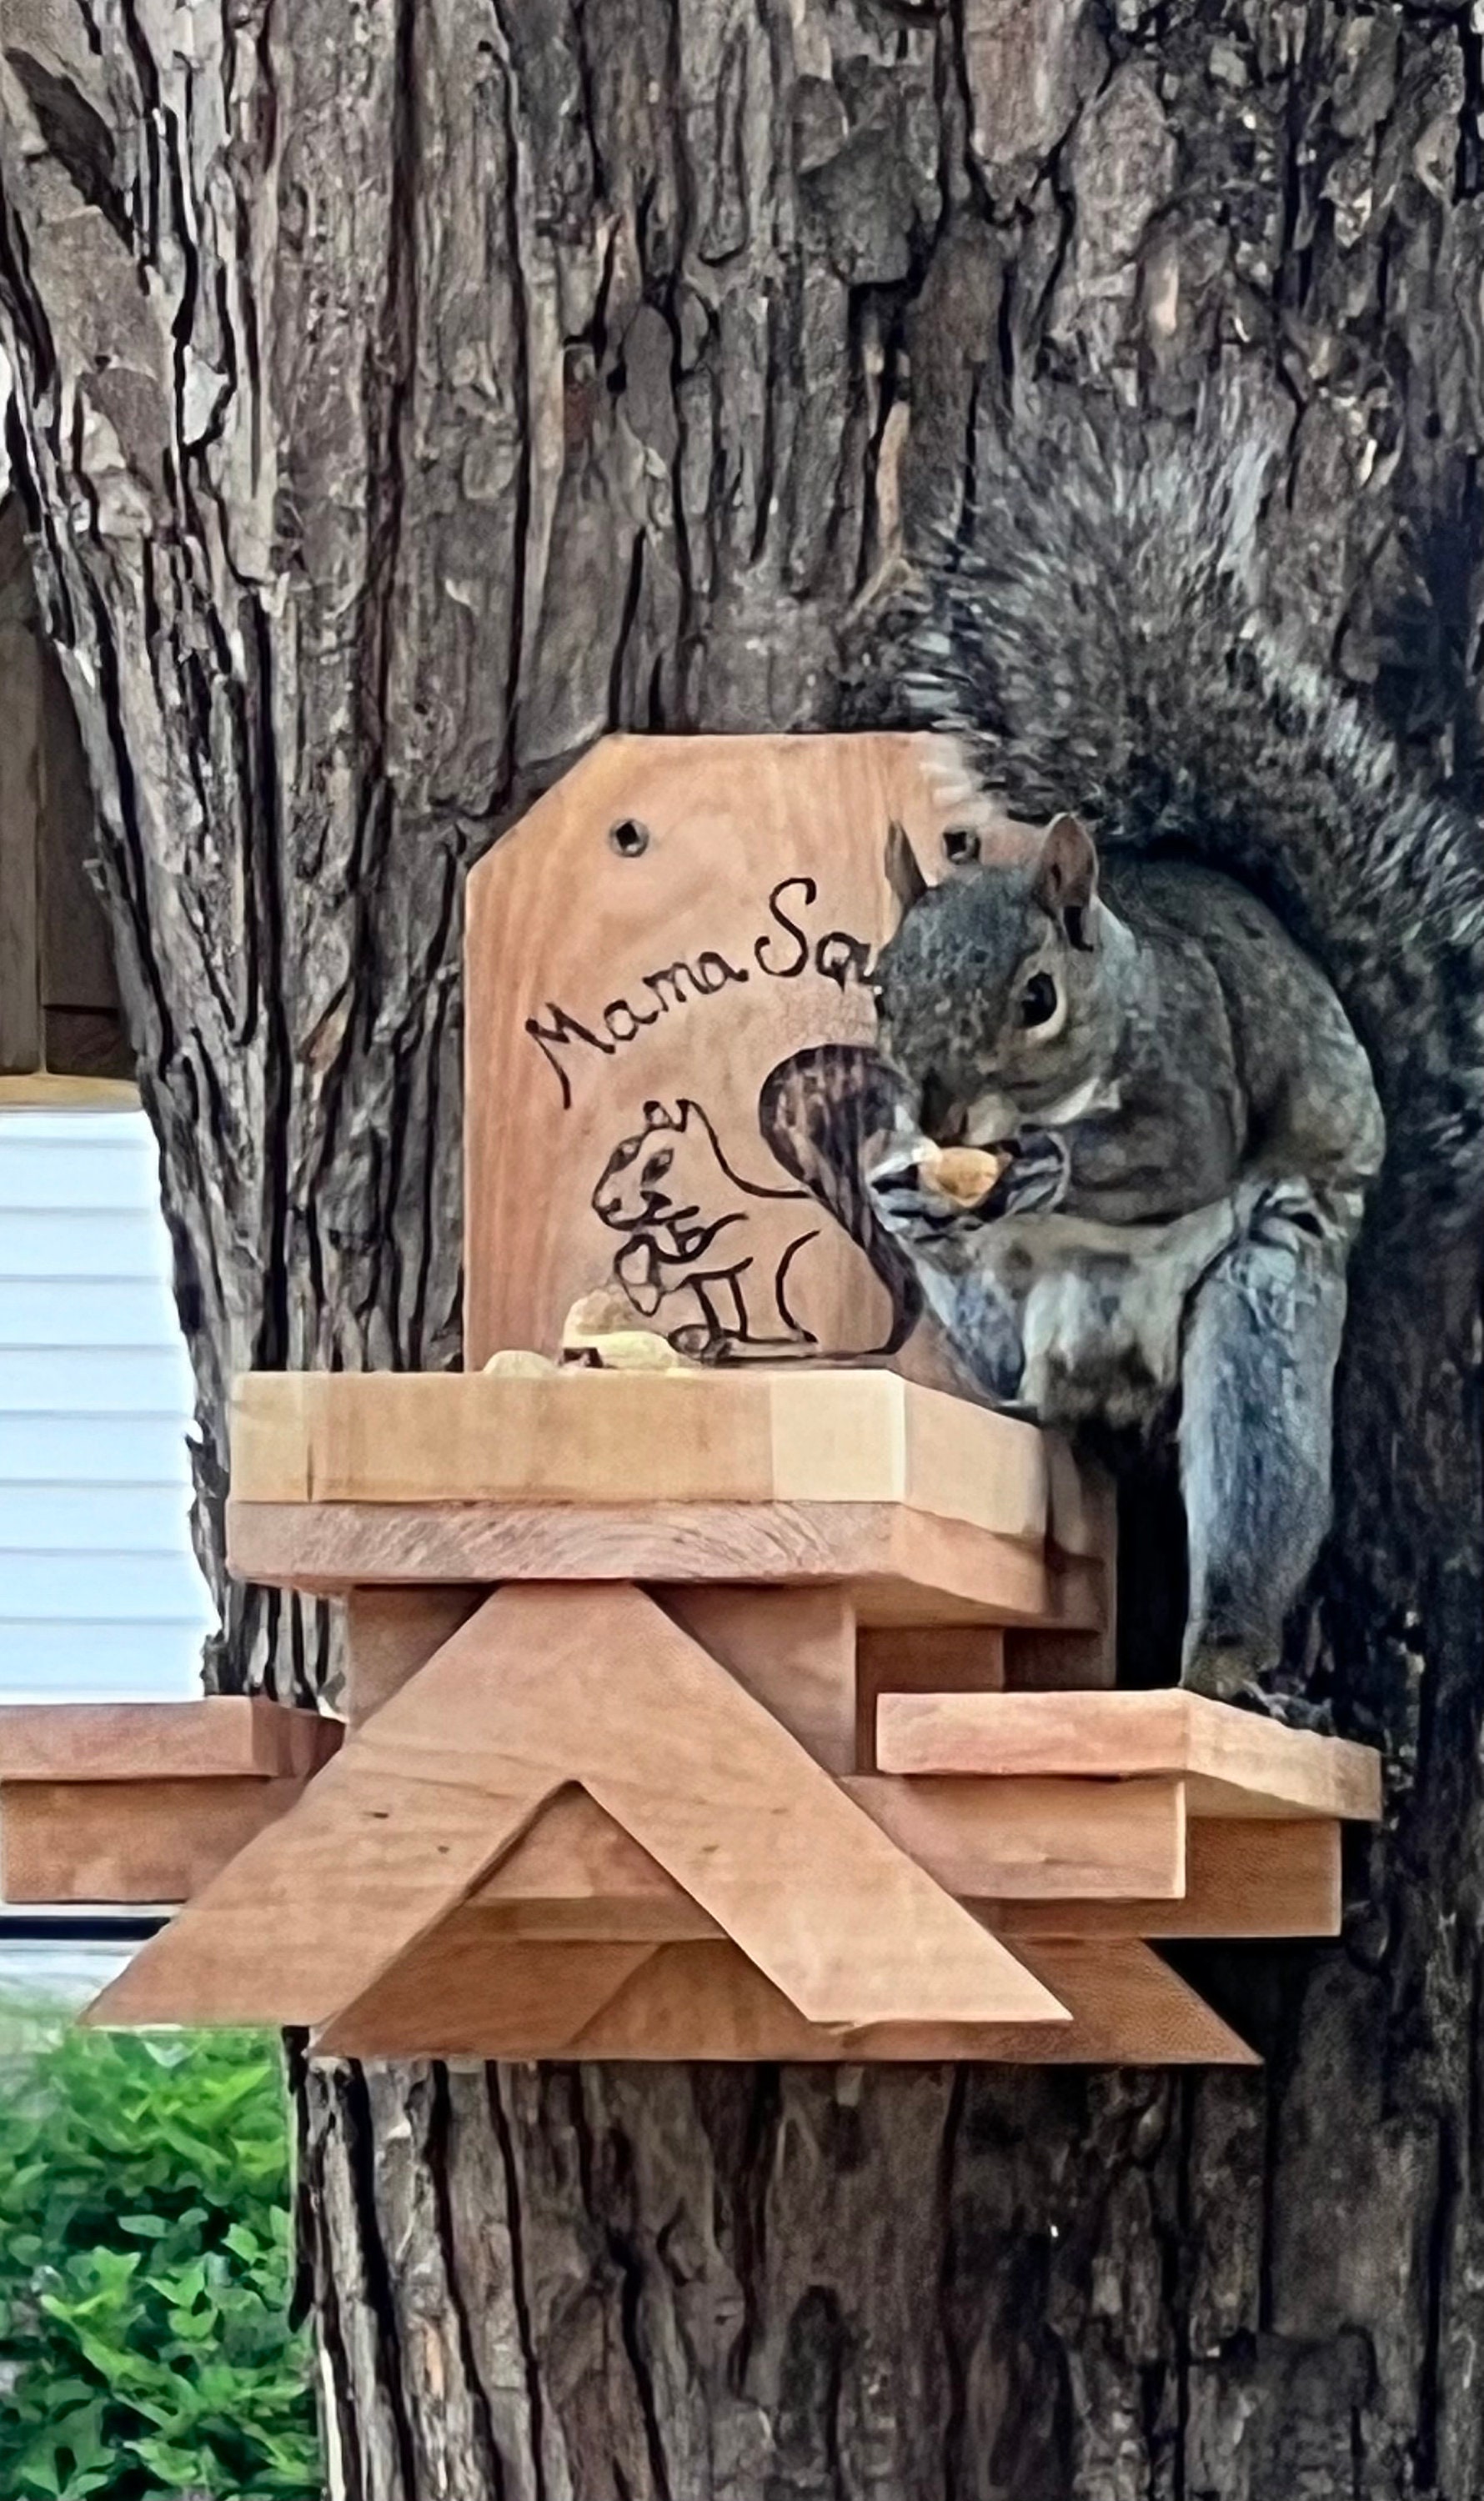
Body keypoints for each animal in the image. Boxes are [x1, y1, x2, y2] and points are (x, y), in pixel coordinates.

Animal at [862, 403, 1484, 1713]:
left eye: (1037, 997)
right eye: (880, 985)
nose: (934, 1119)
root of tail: (1110, 1374)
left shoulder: (1197, 1051)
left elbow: (1184, 1149)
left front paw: (1052, 1166)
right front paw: (896, 1189)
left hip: (1260, 1317)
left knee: (1251, 1498)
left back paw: (1223, 1667)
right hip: (1002, 1335)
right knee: (1008, 1374)